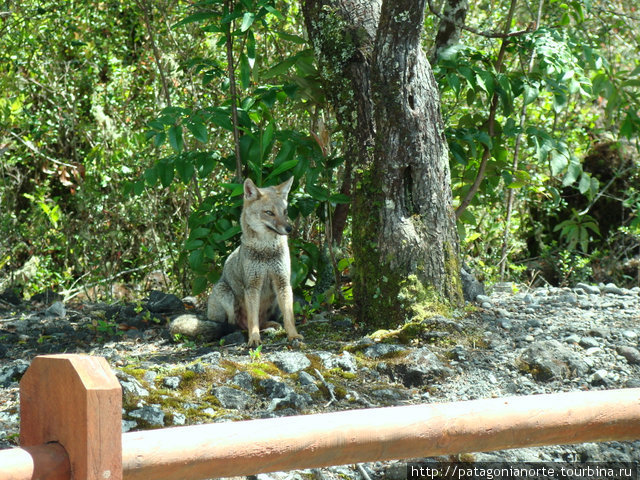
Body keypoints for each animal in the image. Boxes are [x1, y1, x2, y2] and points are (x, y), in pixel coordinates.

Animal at [171, 178, 304, 346]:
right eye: (269, 213)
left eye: (285, 212)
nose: (289, 229)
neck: (266, 251)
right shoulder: (252, 286)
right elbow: (253, 321)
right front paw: (254, 339)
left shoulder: (283, 283)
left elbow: (289, 317)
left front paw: (293, 335)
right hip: (226, 293)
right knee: (232, 325)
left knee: (260, 322)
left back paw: (270, 326)